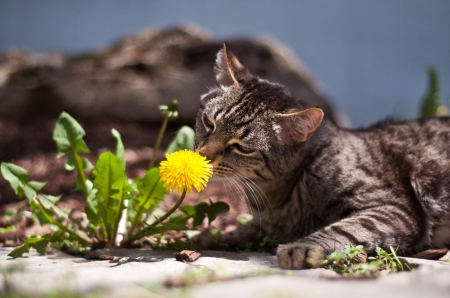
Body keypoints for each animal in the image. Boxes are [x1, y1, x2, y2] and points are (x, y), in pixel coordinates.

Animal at [192, 44, 450, 270]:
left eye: (242, 148)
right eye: (209, 123)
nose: (203, 156)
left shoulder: (394, 208)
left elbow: (346, 228)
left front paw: (302, 247)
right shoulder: (266, 225)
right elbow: (244, 230)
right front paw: (209, 237)